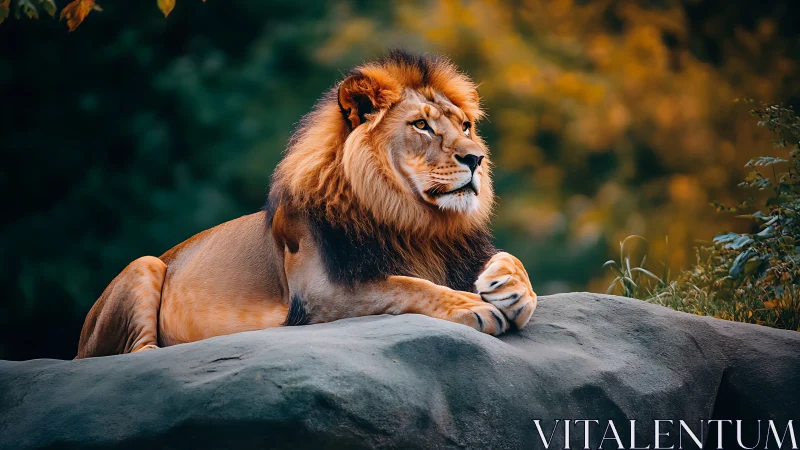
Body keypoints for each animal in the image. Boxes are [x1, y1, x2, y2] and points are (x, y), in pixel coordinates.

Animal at [75, 50, 538, 358]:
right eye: (421, 125)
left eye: (466, 126)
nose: (476, 158)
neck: (413, 220)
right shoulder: (317, 293)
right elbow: (407, 284)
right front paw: (471, 306)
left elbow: (511, 259)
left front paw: (511, 289)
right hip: (144, 266)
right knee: (134, 353)